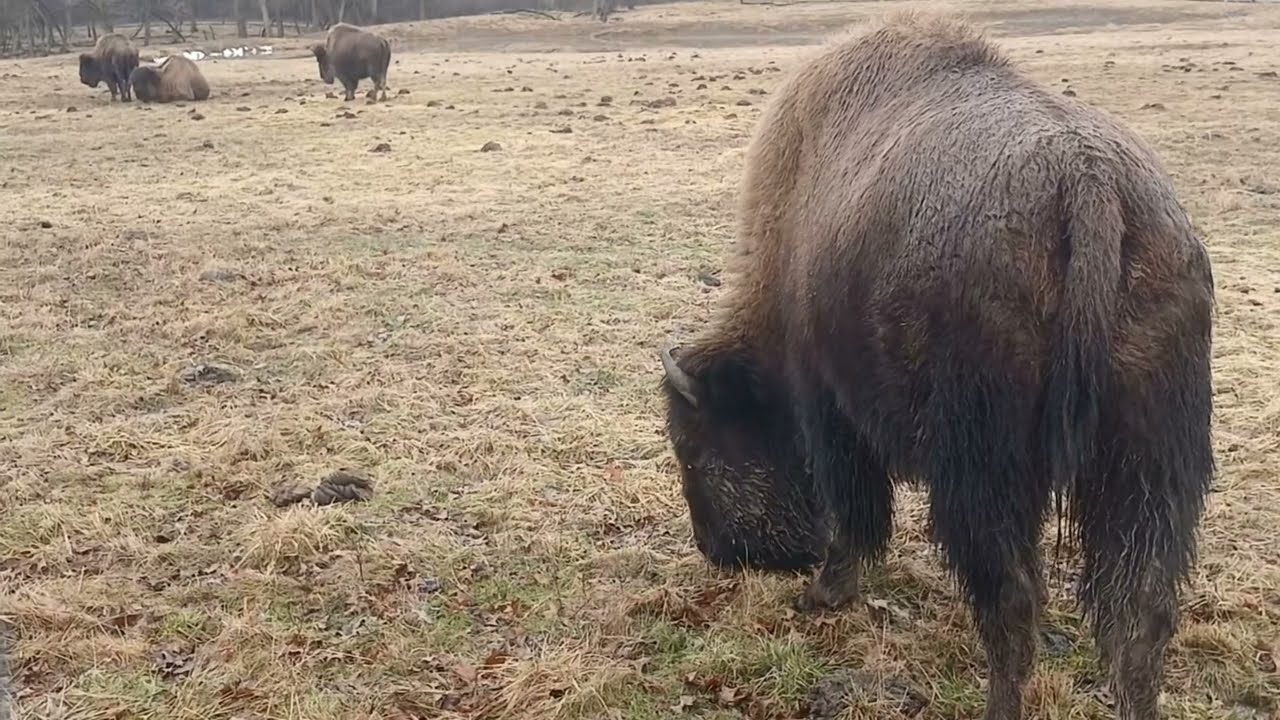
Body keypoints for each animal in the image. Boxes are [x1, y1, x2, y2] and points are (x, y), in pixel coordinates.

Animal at [660, 13, 1214, 720]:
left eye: (691, 448)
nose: (717, 552)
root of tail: (1088, 184)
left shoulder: (829, 407)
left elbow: (855, 507)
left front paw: (825, 592)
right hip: (1149, 464)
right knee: (1140, 615)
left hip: (984, 468)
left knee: (1012, 604)